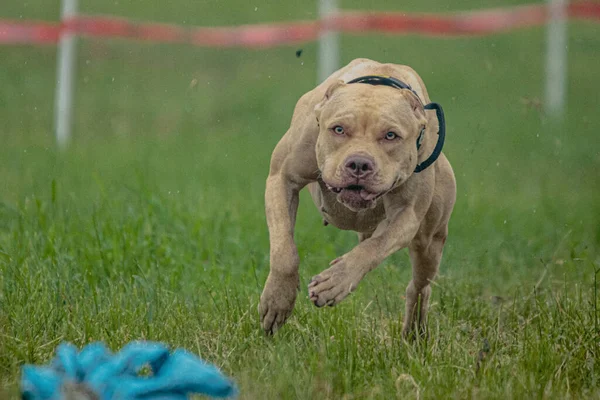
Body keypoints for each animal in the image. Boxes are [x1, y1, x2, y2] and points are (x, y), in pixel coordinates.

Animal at [256, 57, 454, 336]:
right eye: (338, 129)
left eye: (391, 135)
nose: (359, 164)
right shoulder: (282, 179)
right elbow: (285, 250)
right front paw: (277, 299)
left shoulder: (407, 214)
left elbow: (374, 248)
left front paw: (336, 282)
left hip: (430, 242)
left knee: (419, 285)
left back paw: (413, 332)